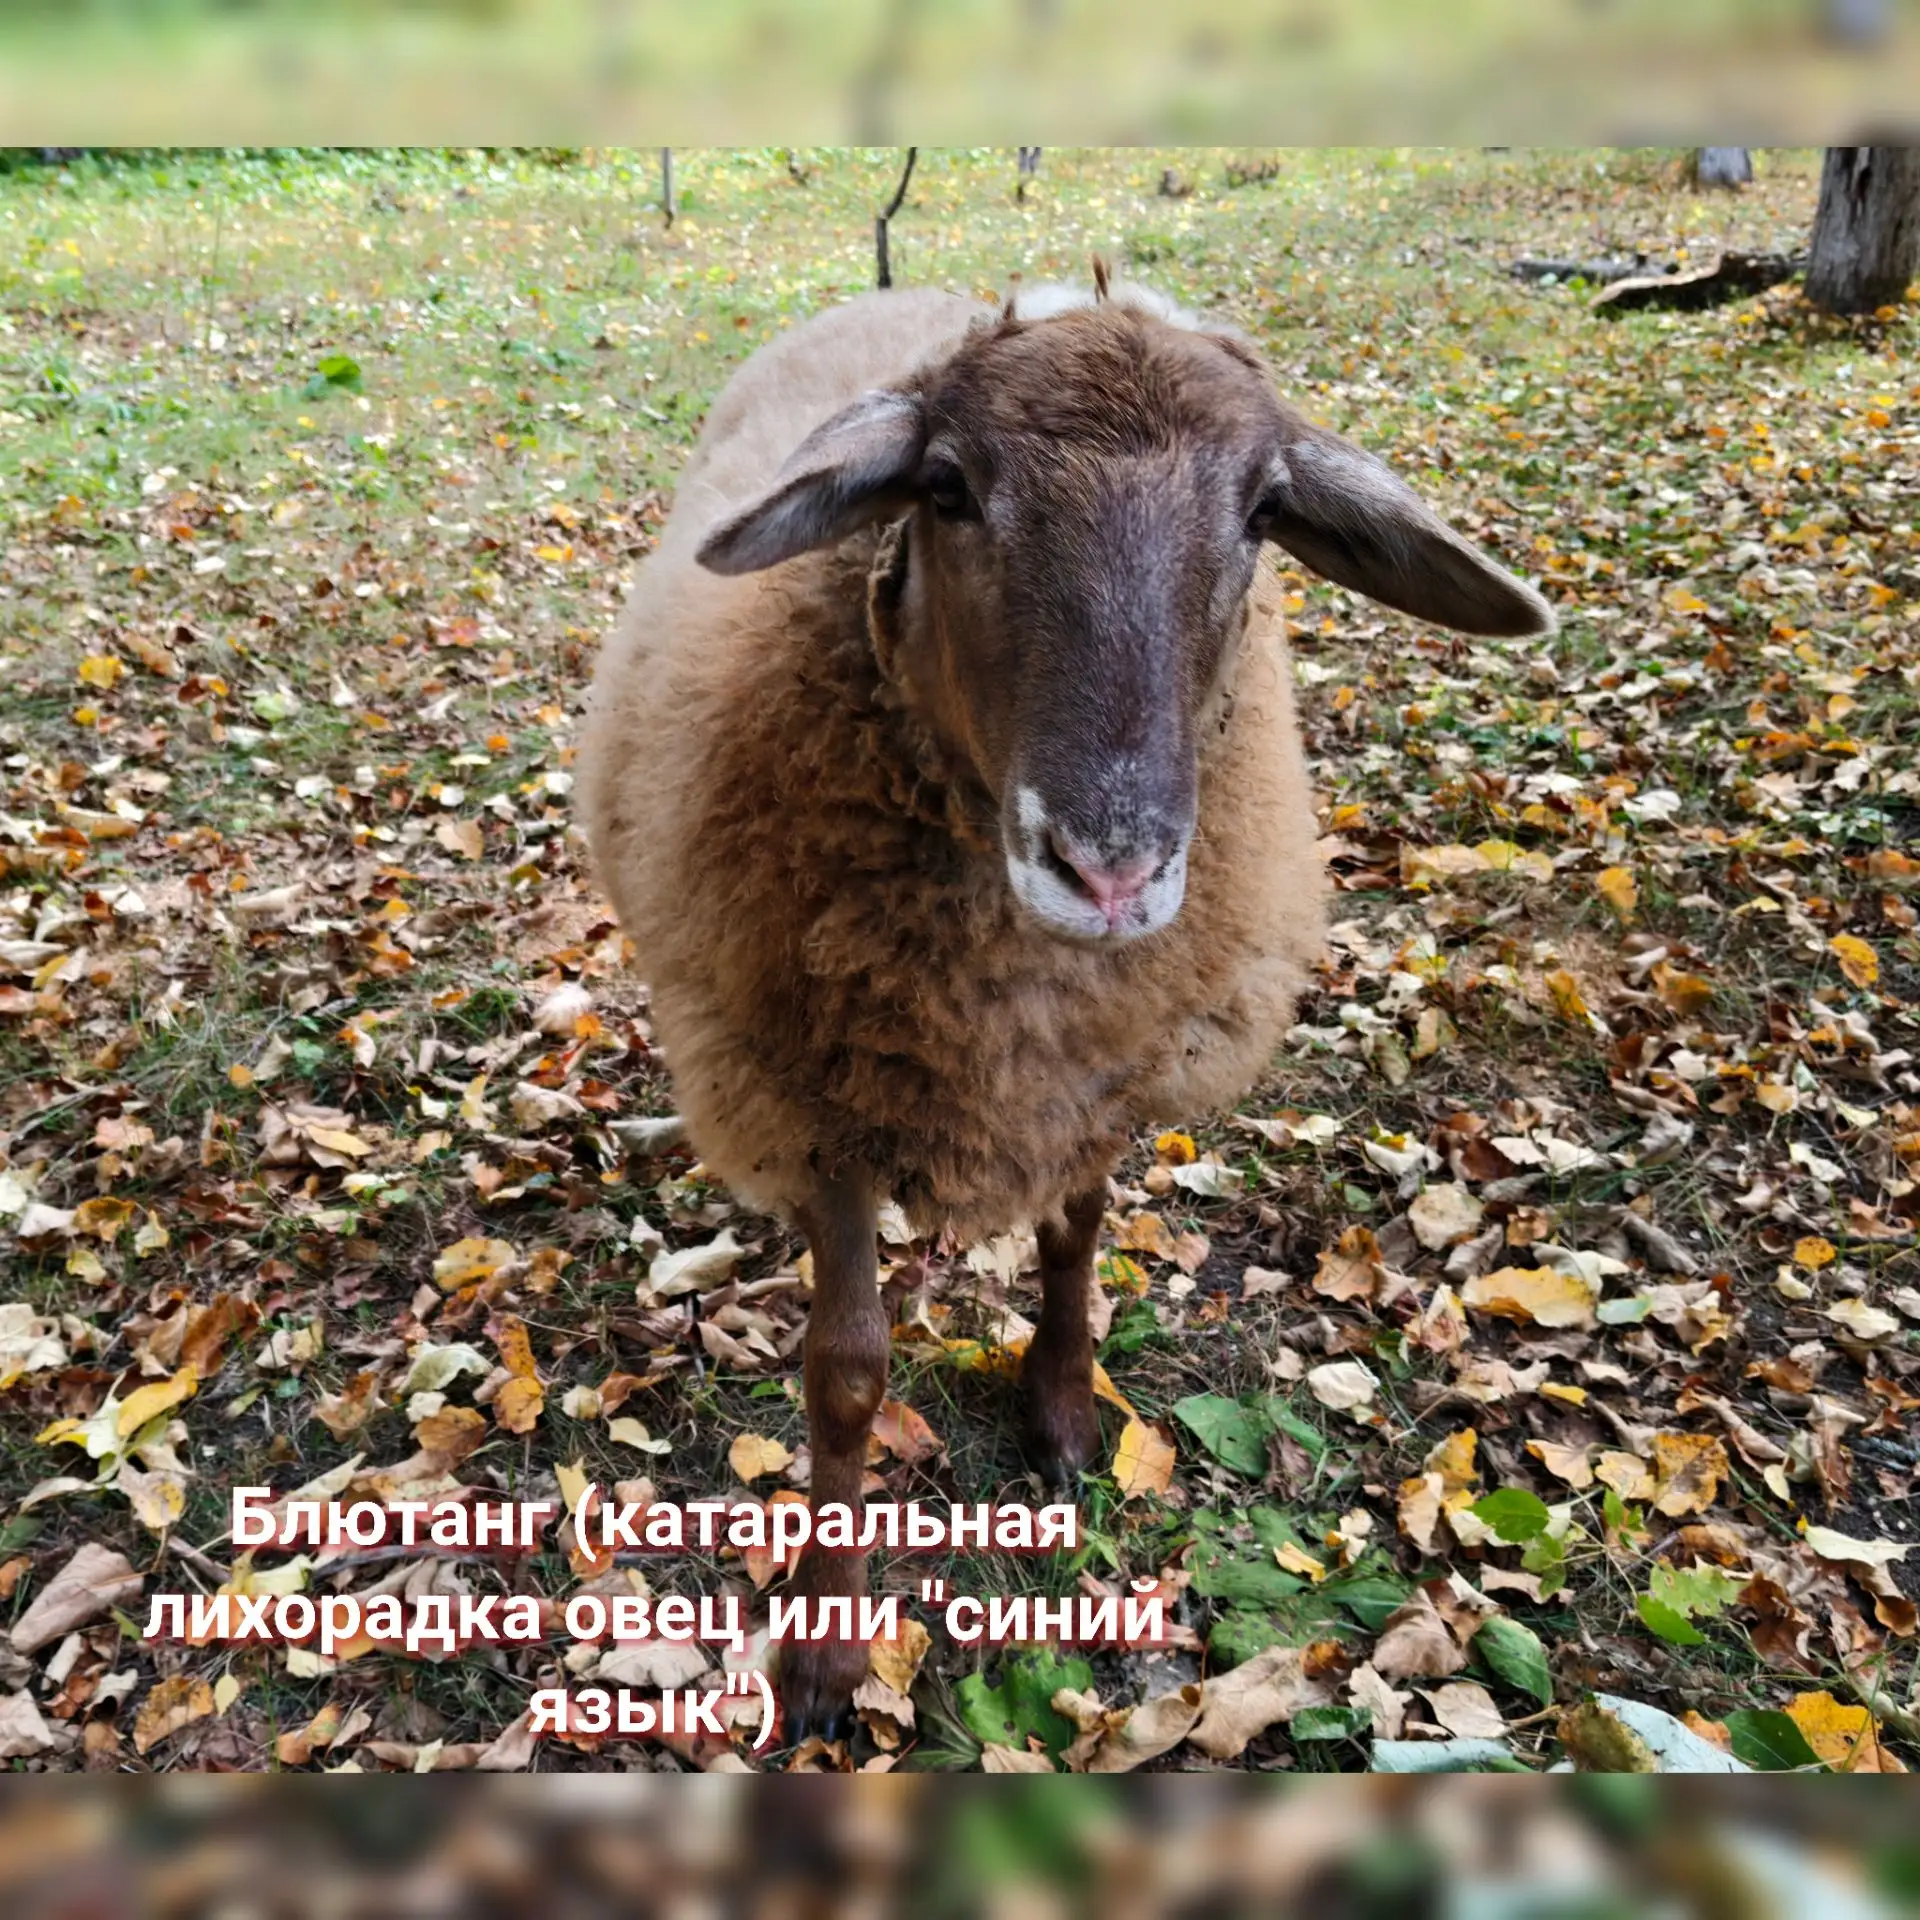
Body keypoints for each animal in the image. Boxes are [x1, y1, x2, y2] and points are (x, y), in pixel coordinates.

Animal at [579, 275, 1555, 1739]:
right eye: (944, 485)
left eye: (1264, 510)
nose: (1111, 867)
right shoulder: (823, 1098)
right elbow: (847, 1374)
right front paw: (824, 1646)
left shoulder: (1113, 1072)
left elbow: (1080, 1235)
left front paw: (1062, 1406)